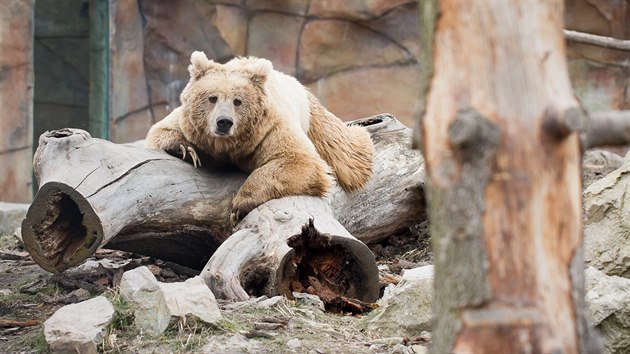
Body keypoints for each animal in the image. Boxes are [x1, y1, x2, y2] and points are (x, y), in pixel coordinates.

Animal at [147, 51, 376, 220]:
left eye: (237, 101)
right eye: (212, 98)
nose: (224, 122)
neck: (228, 144)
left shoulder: (269, 130)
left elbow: (299, 160)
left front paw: (240, 204)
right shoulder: (189, 124)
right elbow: (160, 131)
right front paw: (185, 150)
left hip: (310, 115)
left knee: (346, 154)